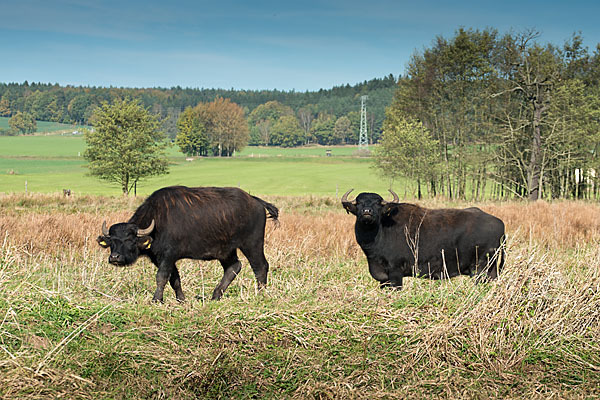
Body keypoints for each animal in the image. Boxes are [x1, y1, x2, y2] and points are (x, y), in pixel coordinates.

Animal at [96, 186, 278, 302]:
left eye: (129, 239)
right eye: (112, 240)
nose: (115, 257)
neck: (157, 222)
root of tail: (255, 201)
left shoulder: (168, 256)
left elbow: (161, 277)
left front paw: (156, 299)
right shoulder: (162, 258)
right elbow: (174, 279)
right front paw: (181, 299)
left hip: (252, 243)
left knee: (260, 266)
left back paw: (261, 294)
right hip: (226, 251)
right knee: (233, 267)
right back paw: (215, 295)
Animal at [340, 190, 504, 288]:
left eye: (378, 204)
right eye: (359, 203)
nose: (367, 211)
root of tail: (499, 223)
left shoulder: (395, 273)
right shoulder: (383, 278)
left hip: (480, 268)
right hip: (491, 270)